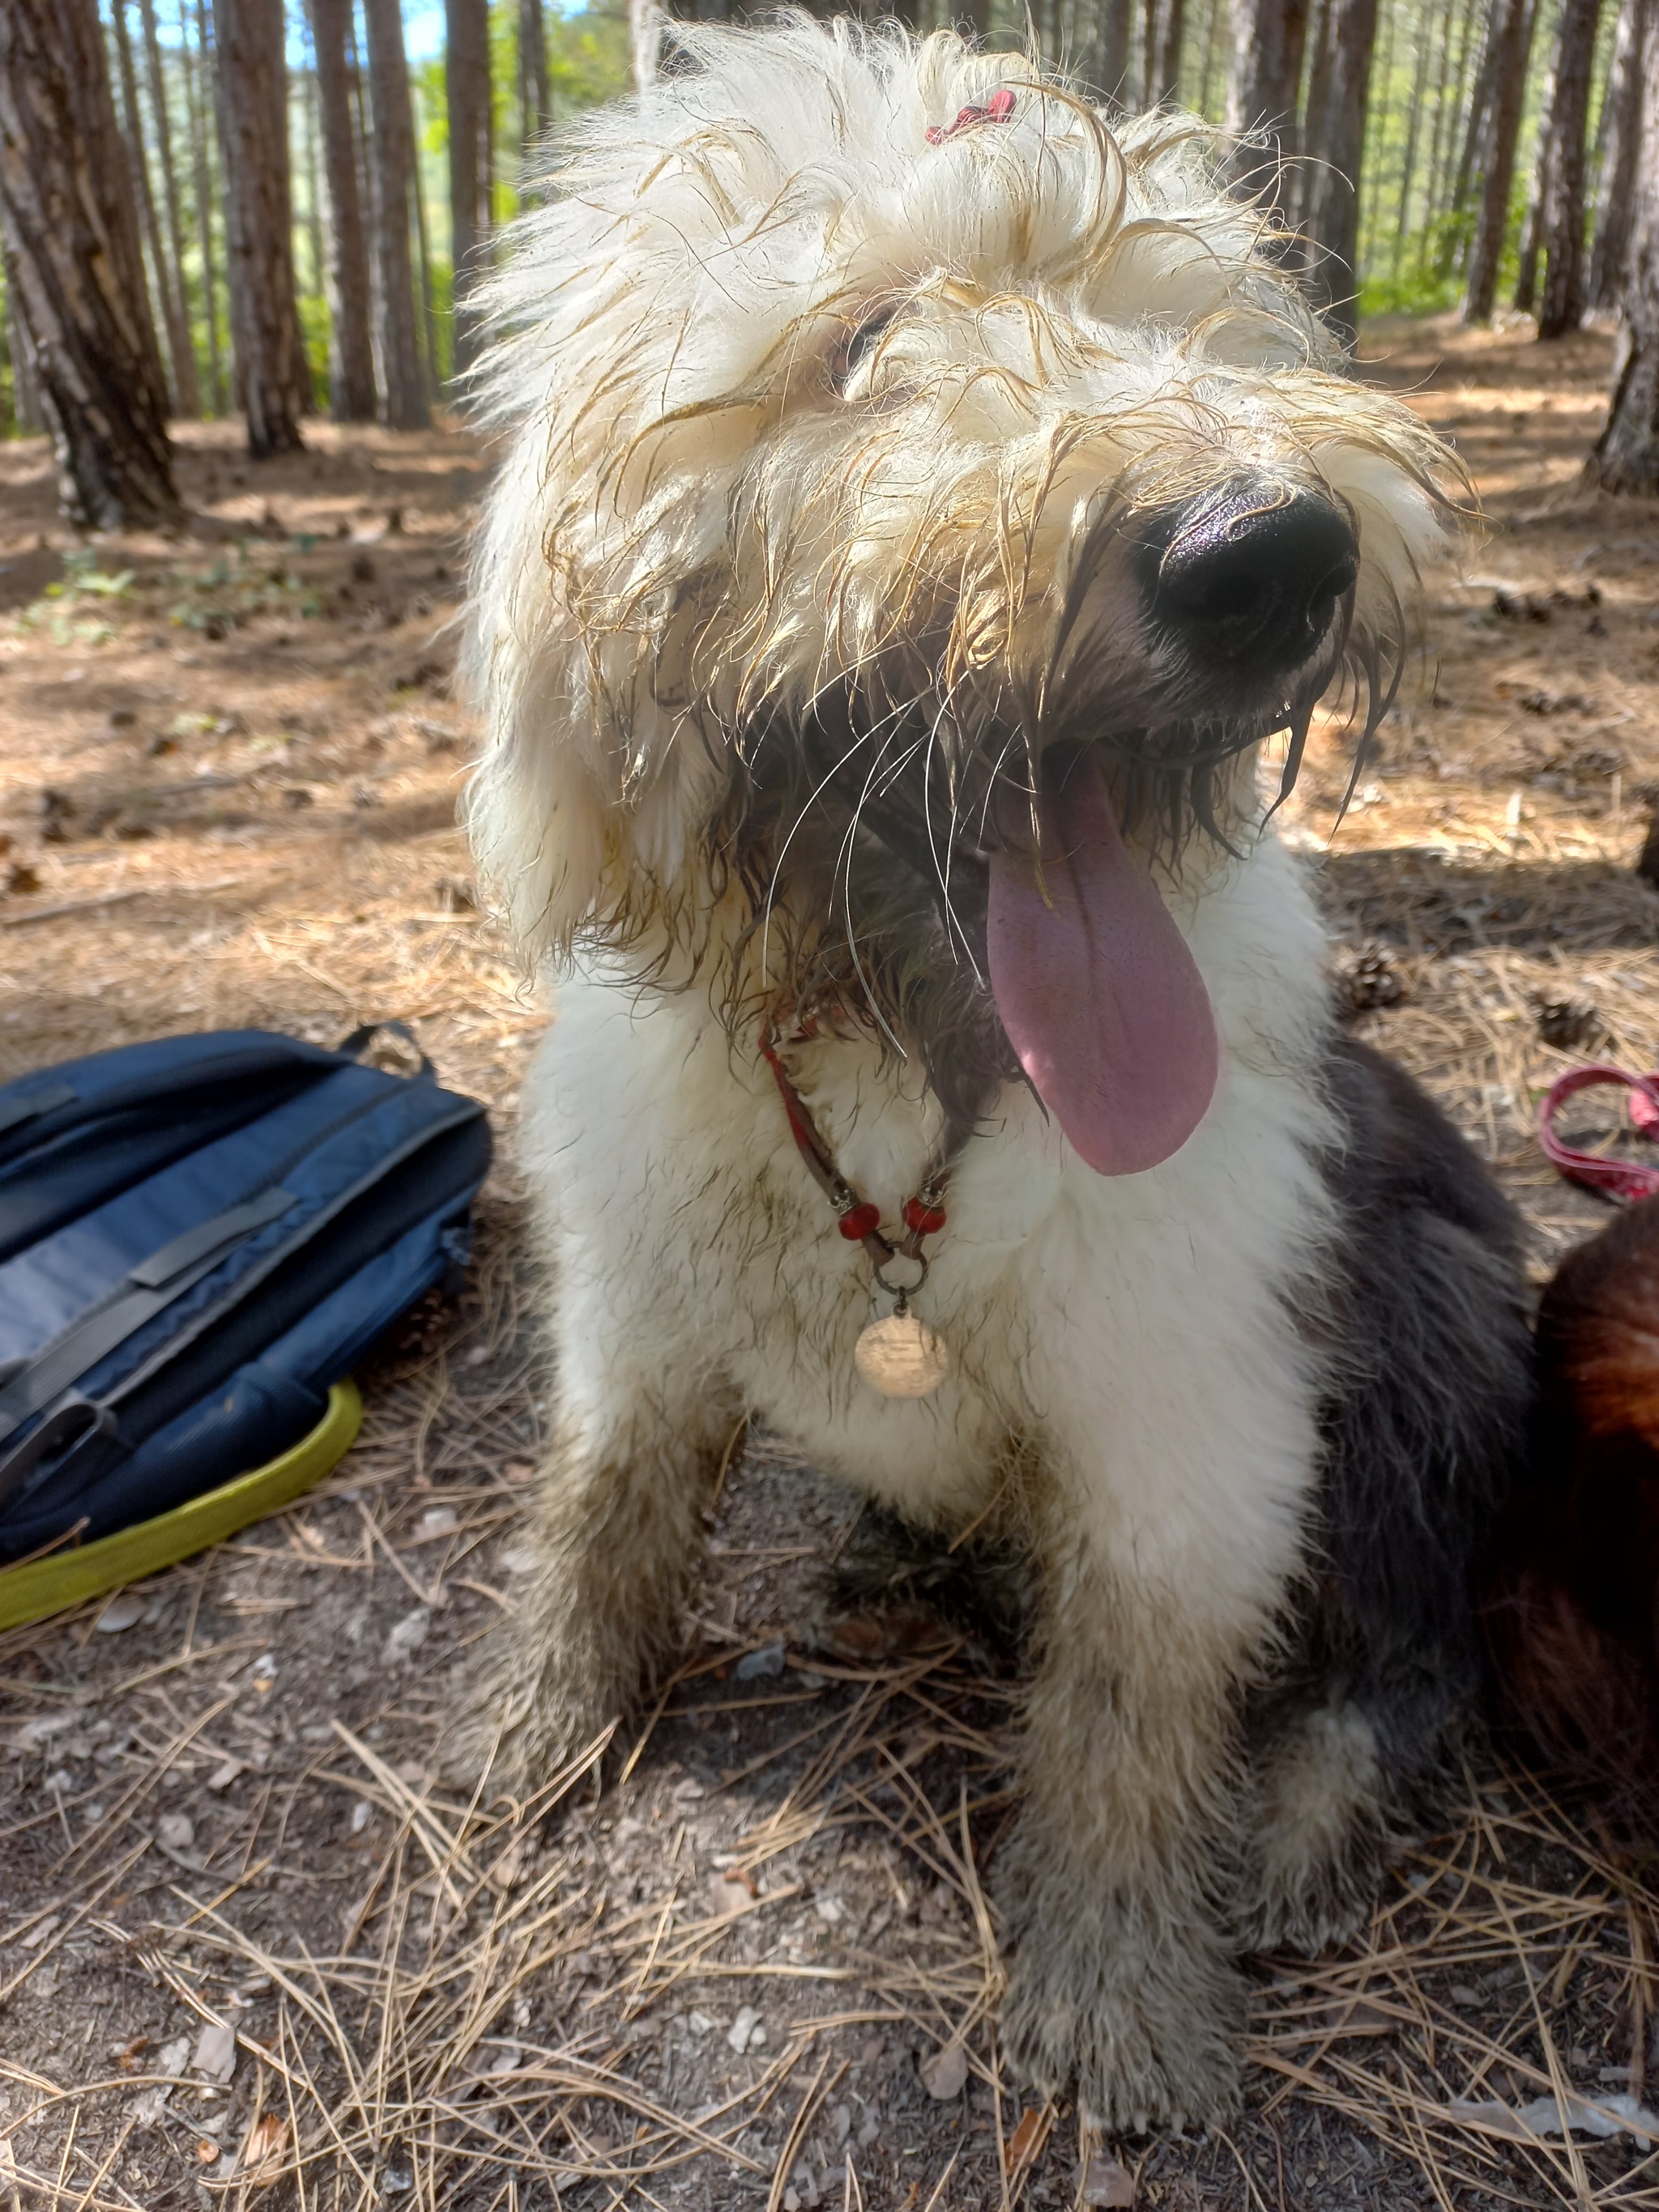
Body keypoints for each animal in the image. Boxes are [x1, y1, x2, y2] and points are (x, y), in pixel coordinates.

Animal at [462, 13, 1539, 2123]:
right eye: (865, 333)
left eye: (1172, 309)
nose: (1265, 551)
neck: (906, 1080)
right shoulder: (636, 1315)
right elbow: (601, 1516)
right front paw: (542, 1722)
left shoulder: (1189, 1431)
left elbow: (1126, 1717)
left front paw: (1115, 1993)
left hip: (1431, 1319)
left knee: (1405, 1660)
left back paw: (1301, 1830)